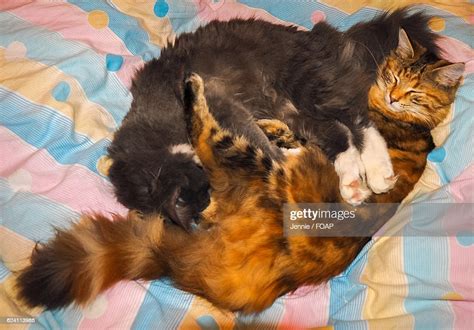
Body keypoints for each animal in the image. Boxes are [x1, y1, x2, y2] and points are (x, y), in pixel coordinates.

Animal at [108, 8, 440, 229]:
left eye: (207, 192)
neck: (157, 136)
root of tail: (325, 37)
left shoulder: (222, 104)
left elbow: (260, 145)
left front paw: (280, 159)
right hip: (294, 110)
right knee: (338, 135)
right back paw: (351, 182)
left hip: (306, 85)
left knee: (359, 119)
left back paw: (378, 172)